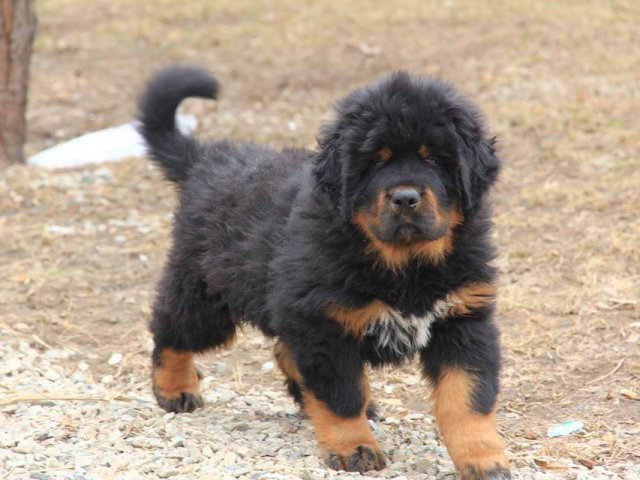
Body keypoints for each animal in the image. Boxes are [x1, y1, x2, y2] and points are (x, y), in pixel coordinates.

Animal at [139, 65, 510, 478]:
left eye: (434, 160)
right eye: (375, 162)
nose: (405, 198)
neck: (405, 265)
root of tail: (206, 158)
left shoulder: (463, 319)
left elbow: (467, 399)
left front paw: (483, 458)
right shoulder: (324, 325)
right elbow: (341, 396)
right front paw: (355, 448)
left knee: (284, 349)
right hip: (208, 293)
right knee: (171, 329)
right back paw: (175, 389)